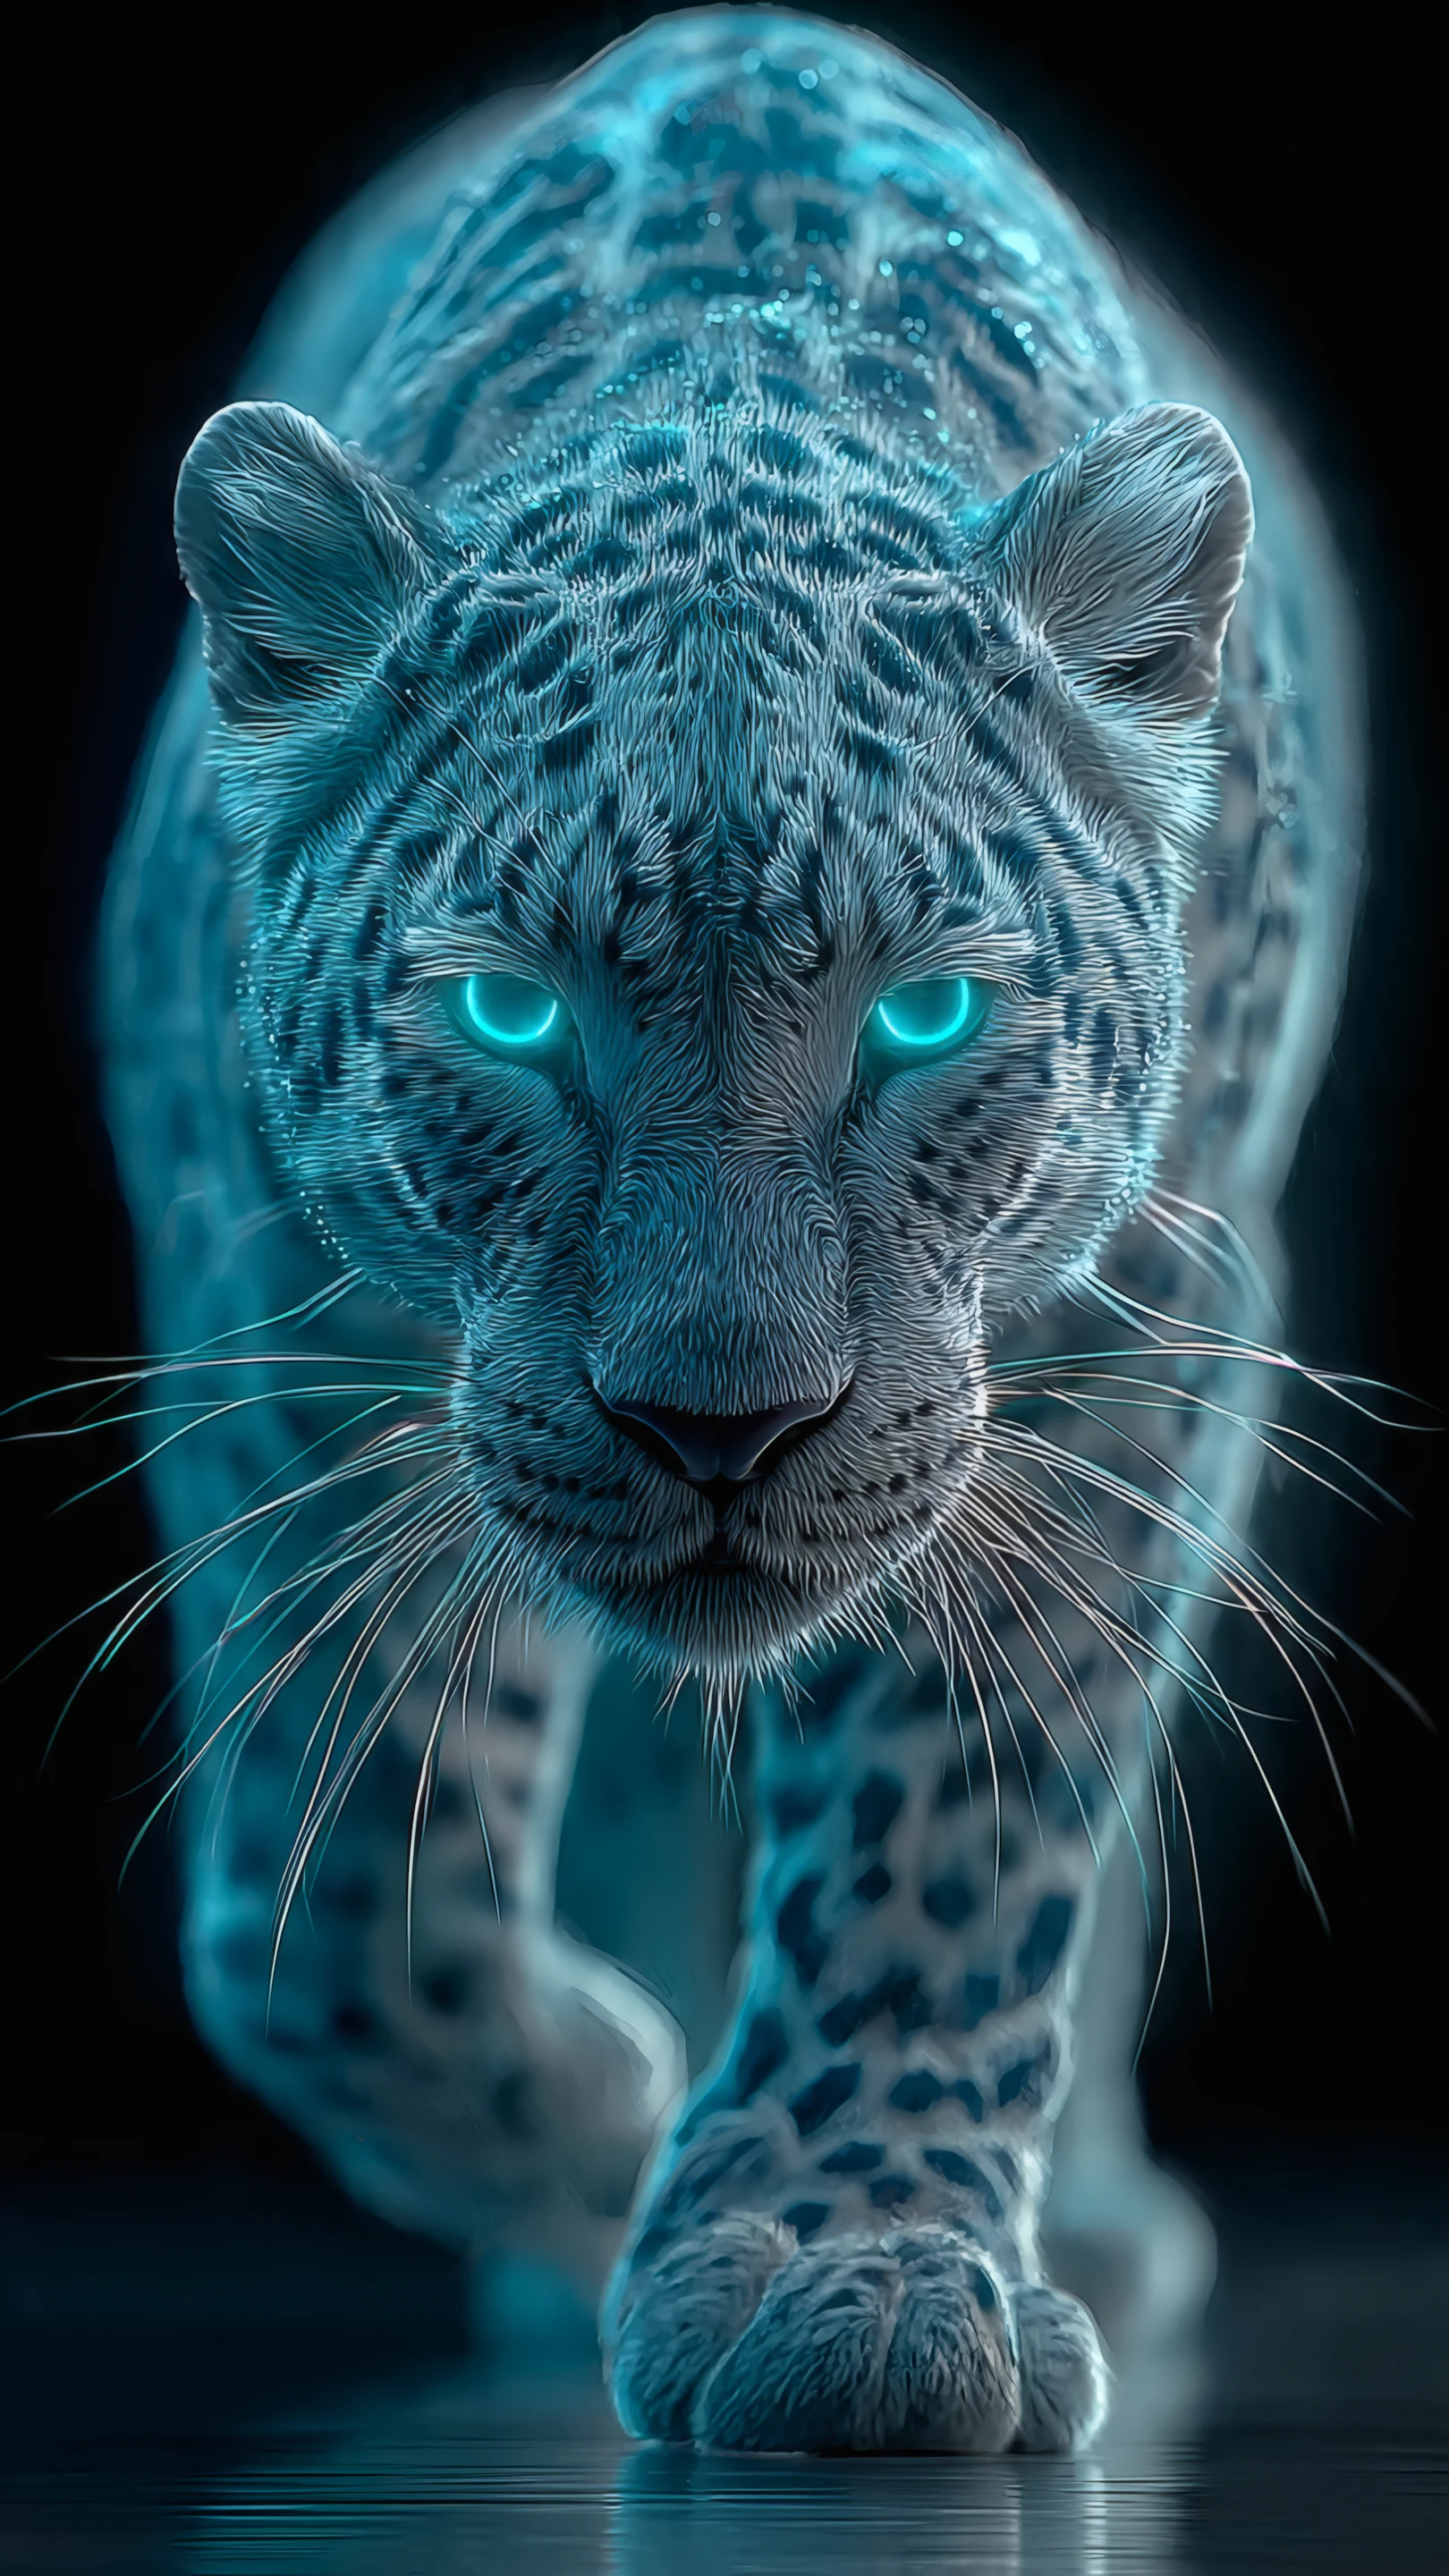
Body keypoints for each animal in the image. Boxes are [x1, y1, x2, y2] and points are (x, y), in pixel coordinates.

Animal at [97, 7, 1363, 2453]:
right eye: (508, 1010)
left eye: (923, 1012)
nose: (720, 1432)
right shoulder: (267, 1313)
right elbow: (328, 1888)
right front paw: (601, 2117)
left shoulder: (1139, 1323)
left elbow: (962, 1819)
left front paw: (843, 2271)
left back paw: (1087, 2216)